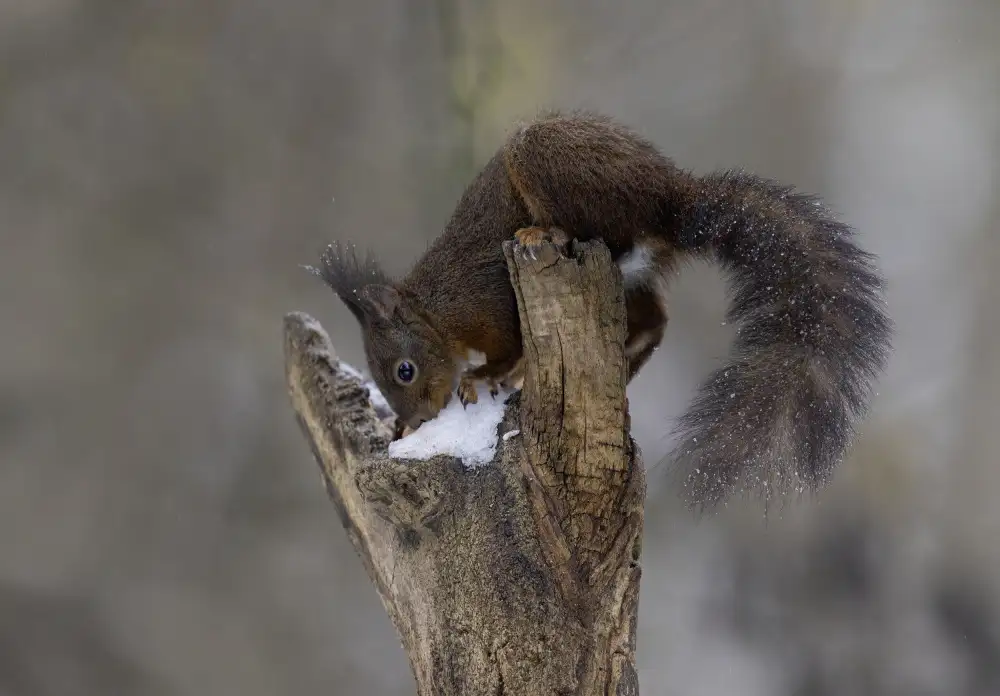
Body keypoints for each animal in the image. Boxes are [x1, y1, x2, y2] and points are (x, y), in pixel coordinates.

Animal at [311, 111, 892, 507]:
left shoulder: (490, 304)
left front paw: (482, 377)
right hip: (630, 276)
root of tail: (670, 199)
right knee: (655, 320)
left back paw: (544, 232)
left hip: (552, 165)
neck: (438, 313)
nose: (416, 421)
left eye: (404, 371)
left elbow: (508, 350)